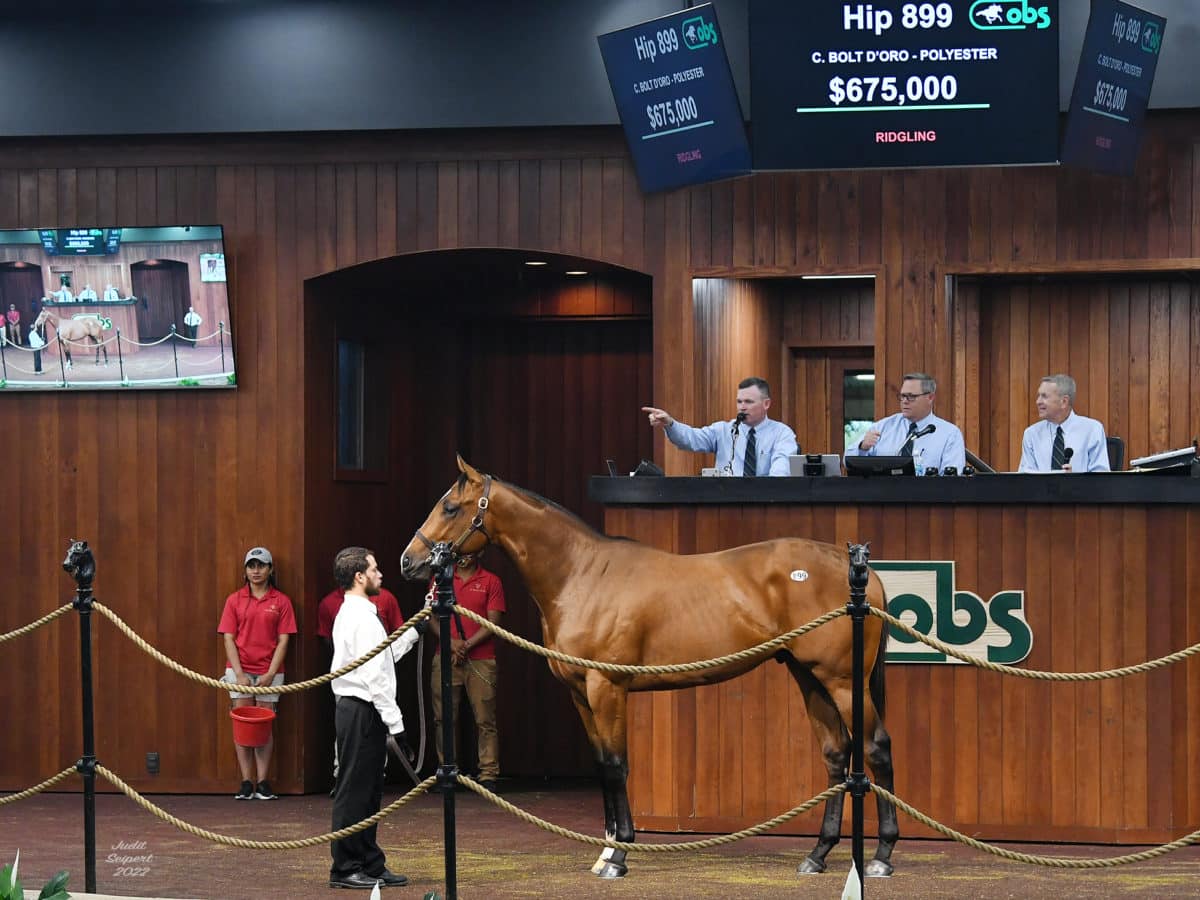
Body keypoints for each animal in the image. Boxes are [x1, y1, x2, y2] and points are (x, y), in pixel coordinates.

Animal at [403, 458, 902, 883]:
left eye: (450, 507)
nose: (409, 561)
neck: (583, 575)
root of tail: (858, 572)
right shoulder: (580, 693)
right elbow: (601, 764)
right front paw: (605, 849)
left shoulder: (607, 688)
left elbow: (617, 765)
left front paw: (620, 855)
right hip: (809, 677)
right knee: (836, 754)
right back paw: (817, 854)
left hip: (844, 682)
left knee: (875, 748)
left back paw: (881, 856)